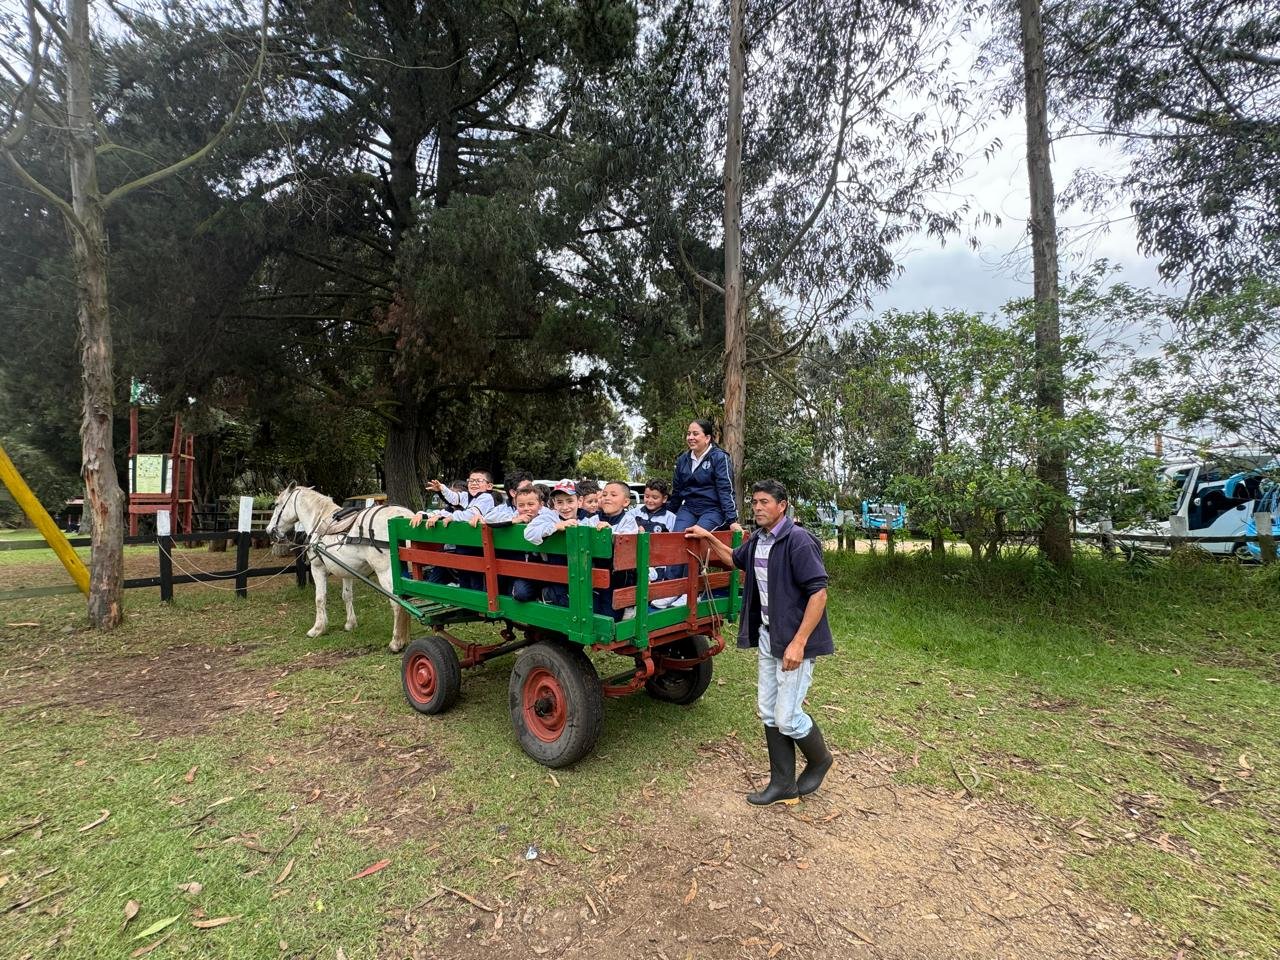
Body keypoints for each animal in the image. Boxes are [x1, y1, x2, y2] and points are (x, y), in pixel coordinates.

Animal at [265, 483, 417, 653]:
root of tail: (407, 517)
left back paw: (396, 641)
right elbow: (347, 596)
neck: (319, 522)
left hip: (386, 573)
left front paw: (318, 629)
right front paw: (350, 623)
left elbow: (320, 598)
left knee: (398, 603)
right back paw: (405, 638)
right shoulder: (346, 571)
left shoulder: (317, 568)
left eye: (277, 504)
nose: (269, 530)